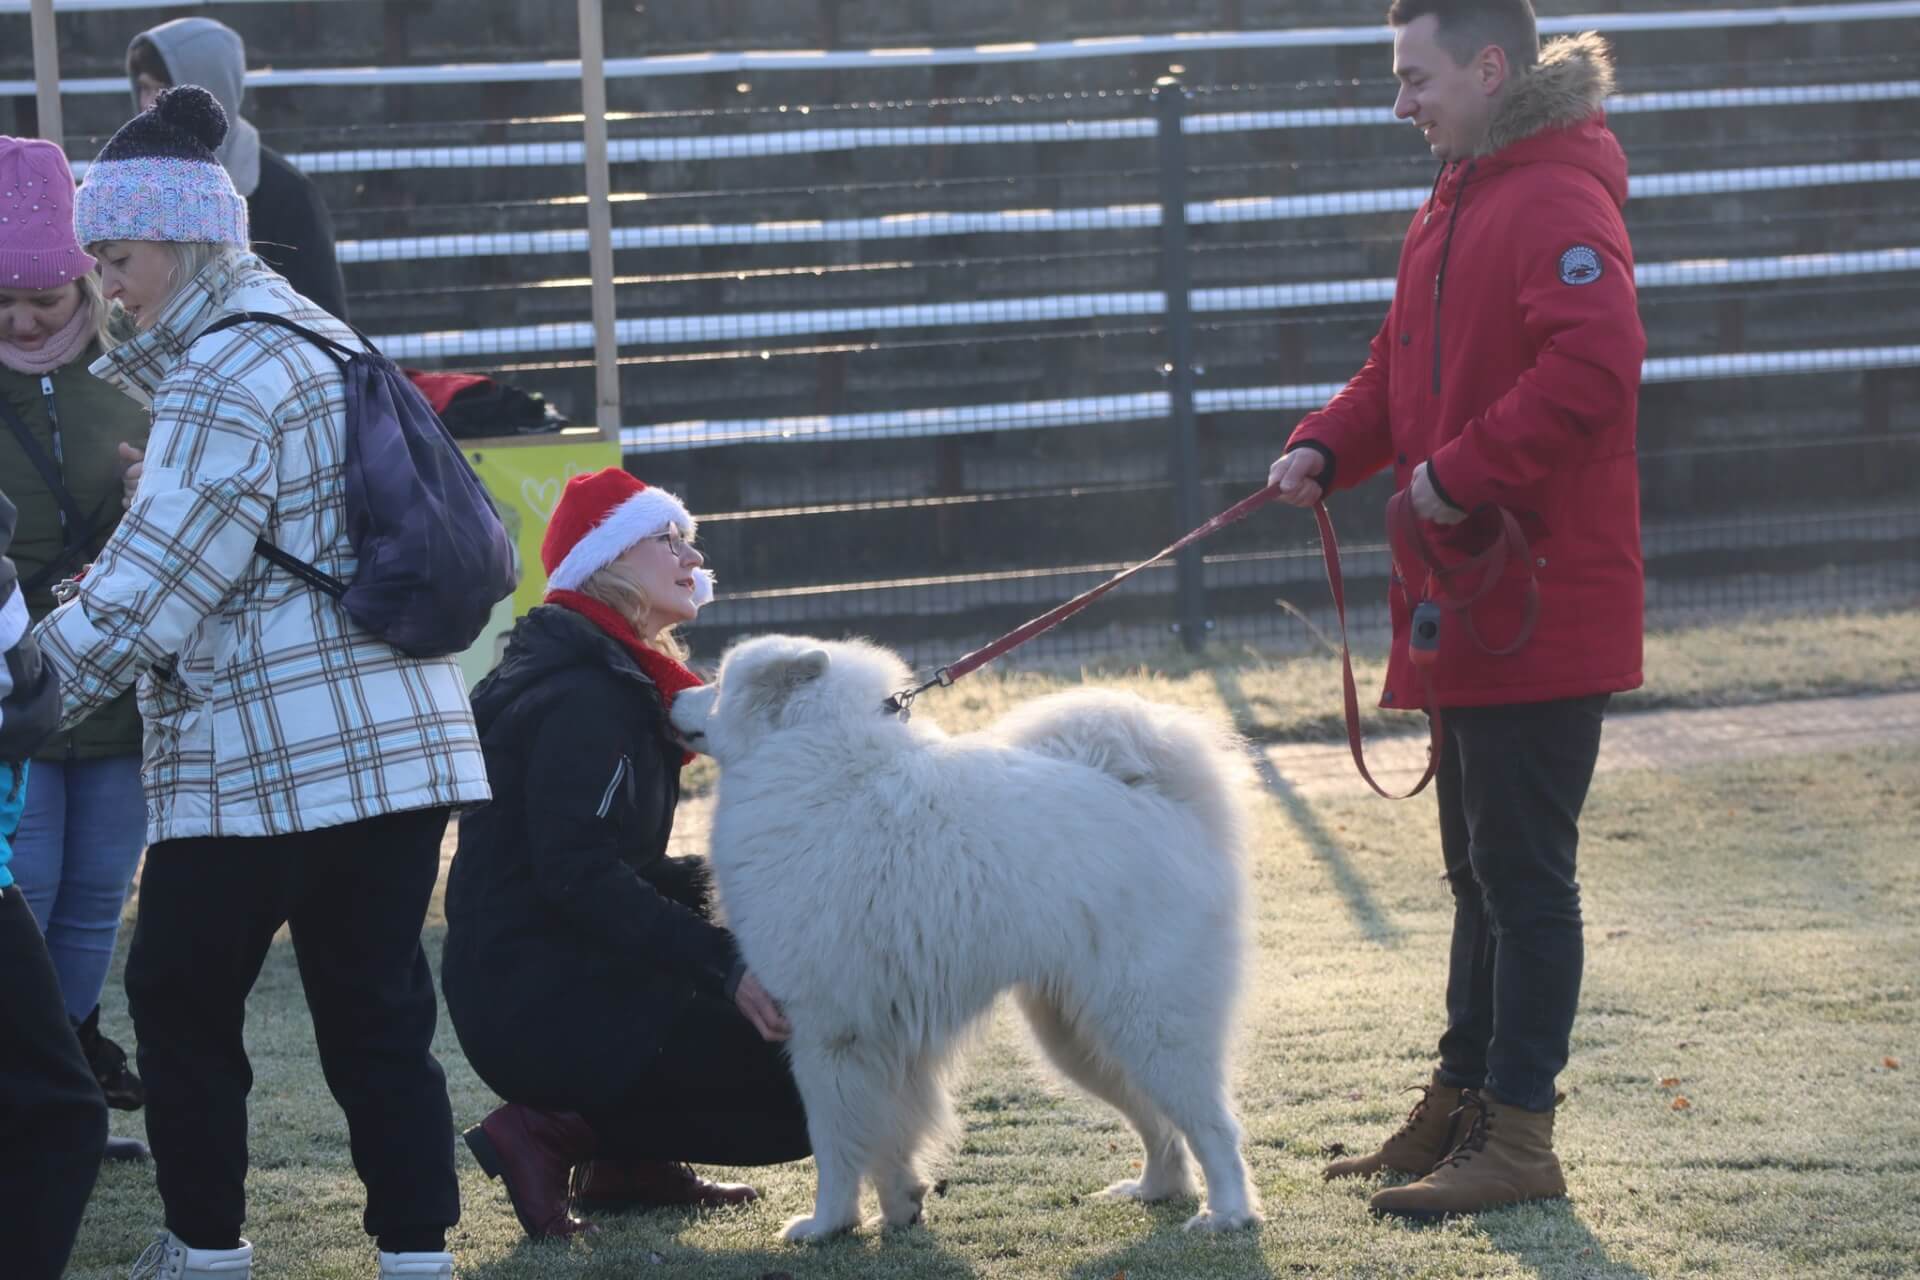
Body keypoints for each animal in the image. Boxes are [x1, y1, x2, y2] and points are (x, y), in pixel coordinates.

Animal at [672, 637, 1259, 1243]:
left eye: (716, 685)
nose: (669, 696)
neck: (811, 767)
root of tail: (1165, 800)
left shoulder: (827, 1036)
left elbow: (835, 1146)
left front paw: (827, 1224)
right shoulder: (884, 1042)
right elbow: (889, 1140)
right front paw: (899, 1208)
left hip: (1151, 1026)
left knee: (1215, 1128)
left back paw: (1227, 1213)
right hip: (1082, 1036)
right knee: (1159, 1124)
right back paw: (1154, 1188)